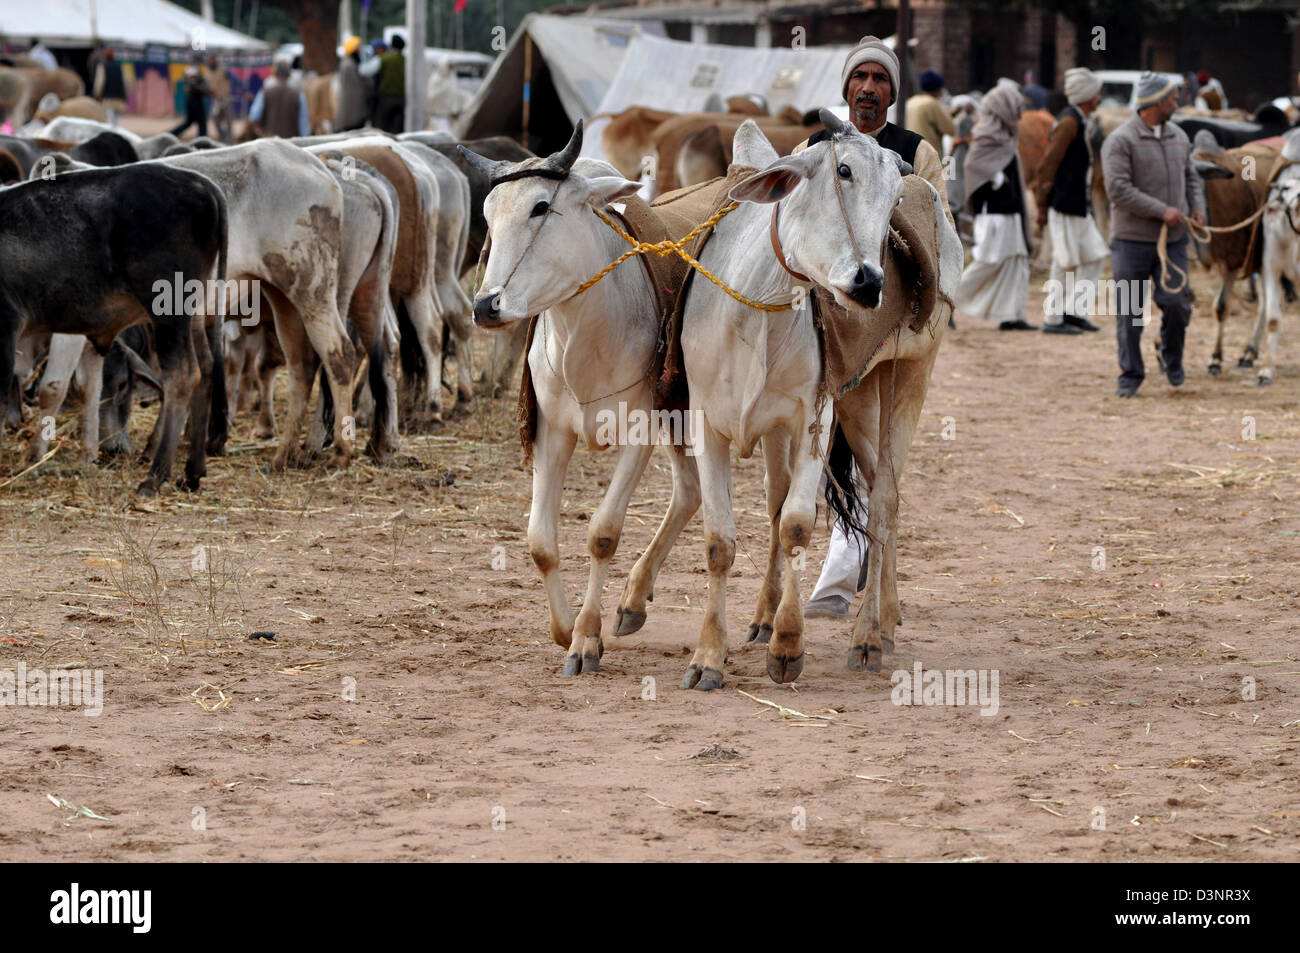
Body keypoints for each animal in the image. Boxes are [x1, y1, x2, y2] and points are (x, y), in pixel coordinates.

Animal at [0, 162, 227, 491]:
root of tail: (201, 183)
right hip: (194, 312)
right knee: (207, 368)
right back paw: (192, 472)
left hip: (169, 311)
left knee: (184, 375)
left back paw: (155, 475)